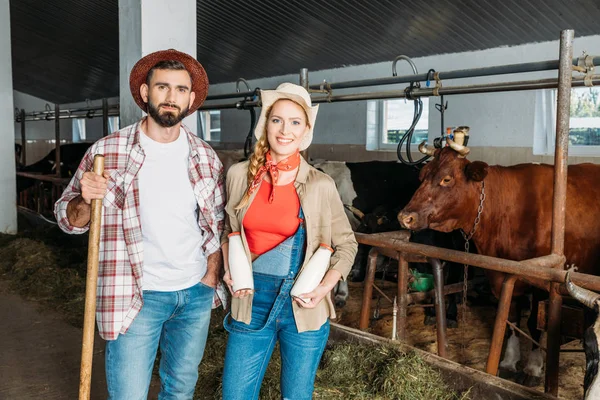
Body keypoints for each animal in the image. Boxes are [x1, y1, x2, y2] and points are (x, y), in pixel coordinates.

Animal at [400, 144, 600, 384]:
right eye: (422, 176)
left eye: (446, 179)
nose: (405, 217)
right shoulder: (503, 273)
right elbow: (511, 320)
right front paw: (509, 360)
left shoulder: (543, 278)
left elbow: (533, 323)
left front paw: (533, 366)